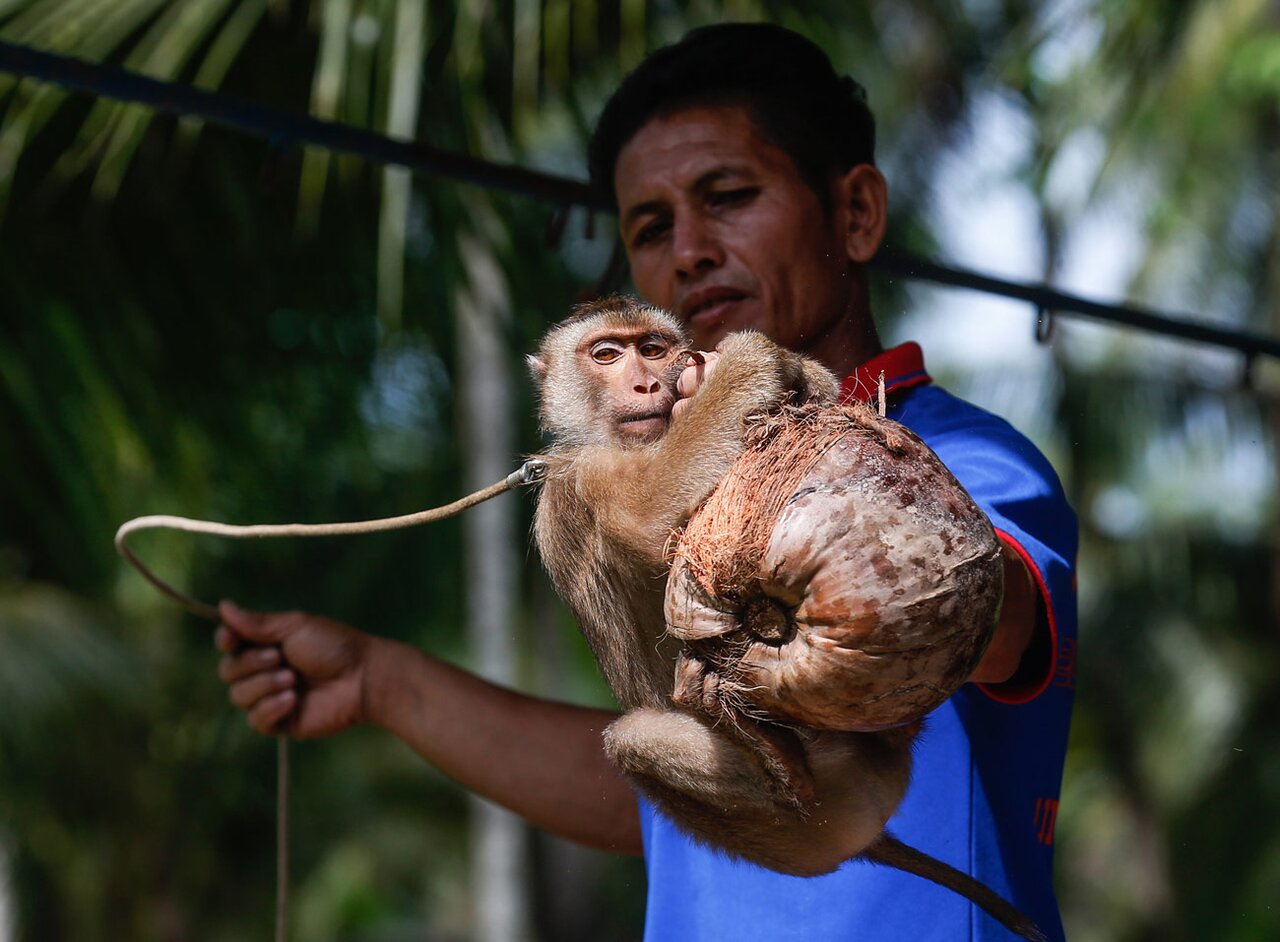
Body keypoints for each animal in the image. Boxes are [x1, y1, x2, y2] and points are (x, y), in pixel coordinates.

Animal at [529, 295, 1049, 941]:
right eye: (606, 354)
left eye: (650, 347)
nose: (650, 380)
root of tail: (872, 836)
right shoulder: (583, 475)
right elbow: (649, 513)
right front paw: (750, 357)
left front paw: (801, 374)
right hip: (816, 826)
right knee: (632, 740)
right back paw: (780, 762)